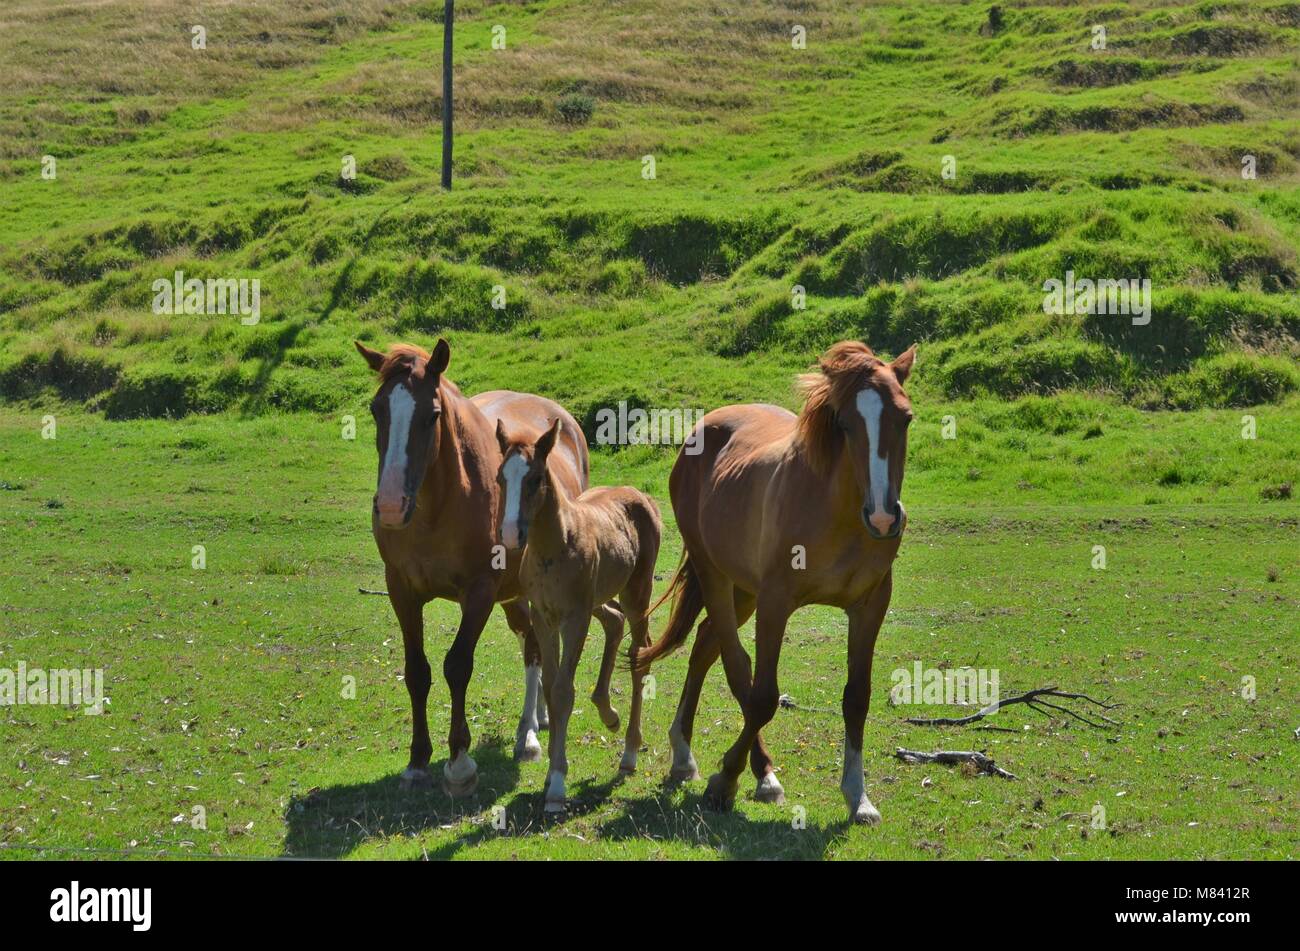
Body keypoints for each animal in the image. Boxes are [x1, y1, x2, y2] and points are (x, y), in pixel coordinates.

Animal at [353, 337, 621, 800]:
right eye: (376, 410)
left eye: (432, 414)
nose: (389, 505)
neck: (439, 504)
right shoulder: (401, 589)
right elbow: (417, 670)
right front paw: (417, 762)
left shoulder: (478, 592)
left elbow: (457, 665)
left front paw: (460, 763)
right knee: (531, 641)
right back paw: (539, 718)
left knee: (534, 651)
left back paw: (528, 734)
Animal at [493, 415, 665, 810]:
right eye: (499, 478)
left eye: (535, 479)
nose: (510, 534)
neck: (555, 546)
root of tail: (642, 498)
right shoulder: (543, 617)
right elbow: (550, 687)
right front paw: (549, 776)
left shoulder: (574, 618)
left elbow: (562, 691)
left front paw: (557, 783)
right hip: (600, 597)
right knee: (615, 622)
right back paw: (608, 712)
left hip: (635, 594)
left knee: (640, 653)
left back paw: (629, 752)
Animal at [639, 342, 915, 826]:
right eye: (845, 424)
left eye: (905, 418)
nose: (883, 517)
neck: (837, 511)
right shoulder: (776, 603)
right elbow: (763, 695)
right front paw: (724, 781)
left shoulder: (870, 606)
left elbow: (856, 698)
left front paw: (858, 796)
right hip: (718, 577)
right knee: (735, 665)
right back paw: (743, 770)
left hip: (743, 589)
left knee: (706, 646)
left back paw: (692, 755)